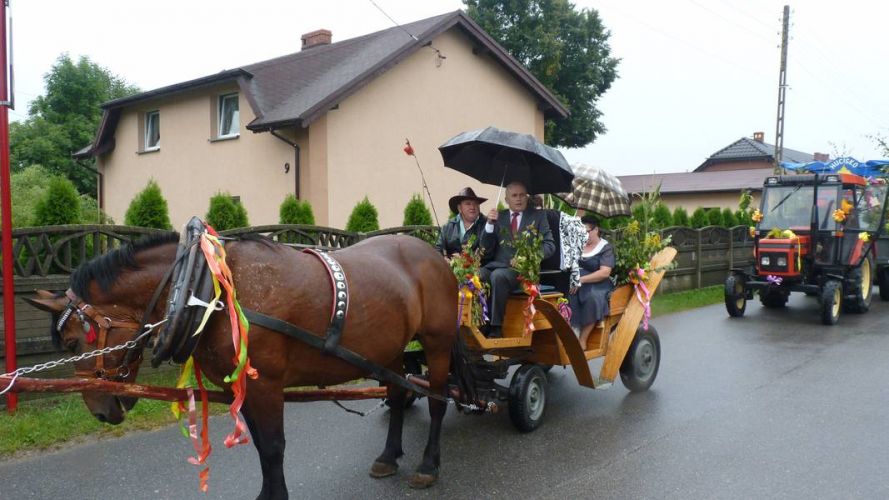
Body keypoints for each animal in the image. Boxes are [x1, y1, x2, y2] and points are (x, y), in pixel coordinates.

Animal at [24, 229, 476, 496]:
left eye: (73, 341)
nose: (101, 412)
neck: (211, 292)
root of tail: (434, 255)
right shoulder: (240, 386)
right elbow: (260, 445)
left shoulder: (266, 384)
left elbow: (273, 447)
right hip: (390, 350)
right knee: (398, 396)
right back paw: (388, 455)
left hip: (436, 345)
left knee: (437, 402)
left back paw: (428, 464)